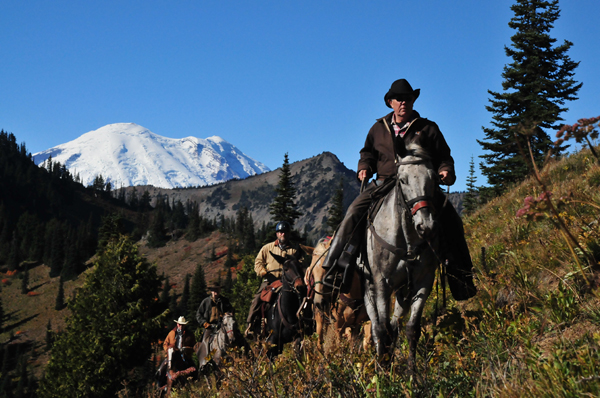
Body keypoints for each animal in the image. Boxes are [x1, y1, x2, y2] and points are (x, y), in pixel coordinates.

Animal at [360, 143, 440, 374]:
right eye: (402, 180)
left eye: (434, 178)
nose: (426, 226)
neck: (408, 242)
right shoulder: (382, 284)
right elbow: (382, 330)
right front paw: (382, 374)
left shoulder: (424, 281)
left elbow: (412, 329)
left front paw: (413, 375)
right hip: (370, 290)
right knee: (378, 328)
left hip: (403, 293)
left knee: (394, 327)